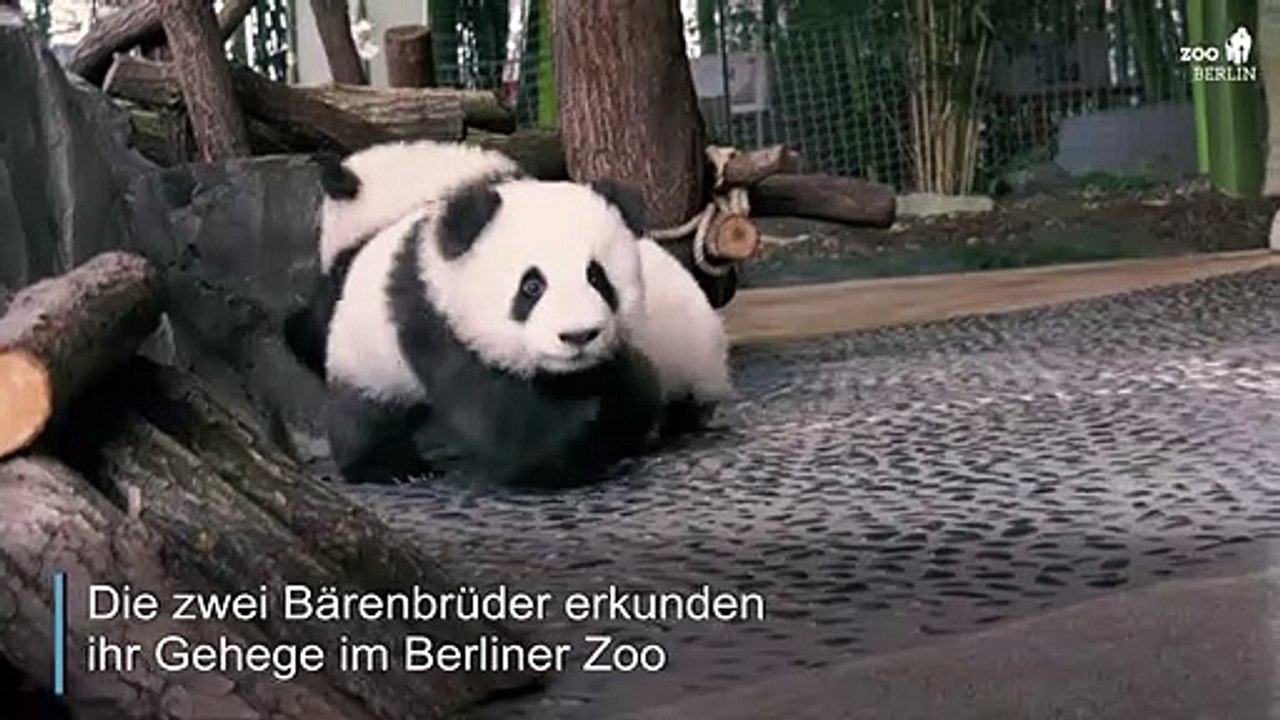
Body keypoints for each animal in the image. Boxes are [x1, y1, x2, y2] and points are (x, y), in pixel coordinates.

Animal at [318, 174, 666, 486]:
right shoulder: (436, 323)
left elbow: (629, 383)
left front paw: (617, 429)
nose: (578, 335)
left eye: (597, 277)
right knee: (365, 414)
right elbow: (495, 416)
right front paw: (563, 462)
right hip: (365, 354)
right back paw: (391, 468)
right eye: (532, 286)